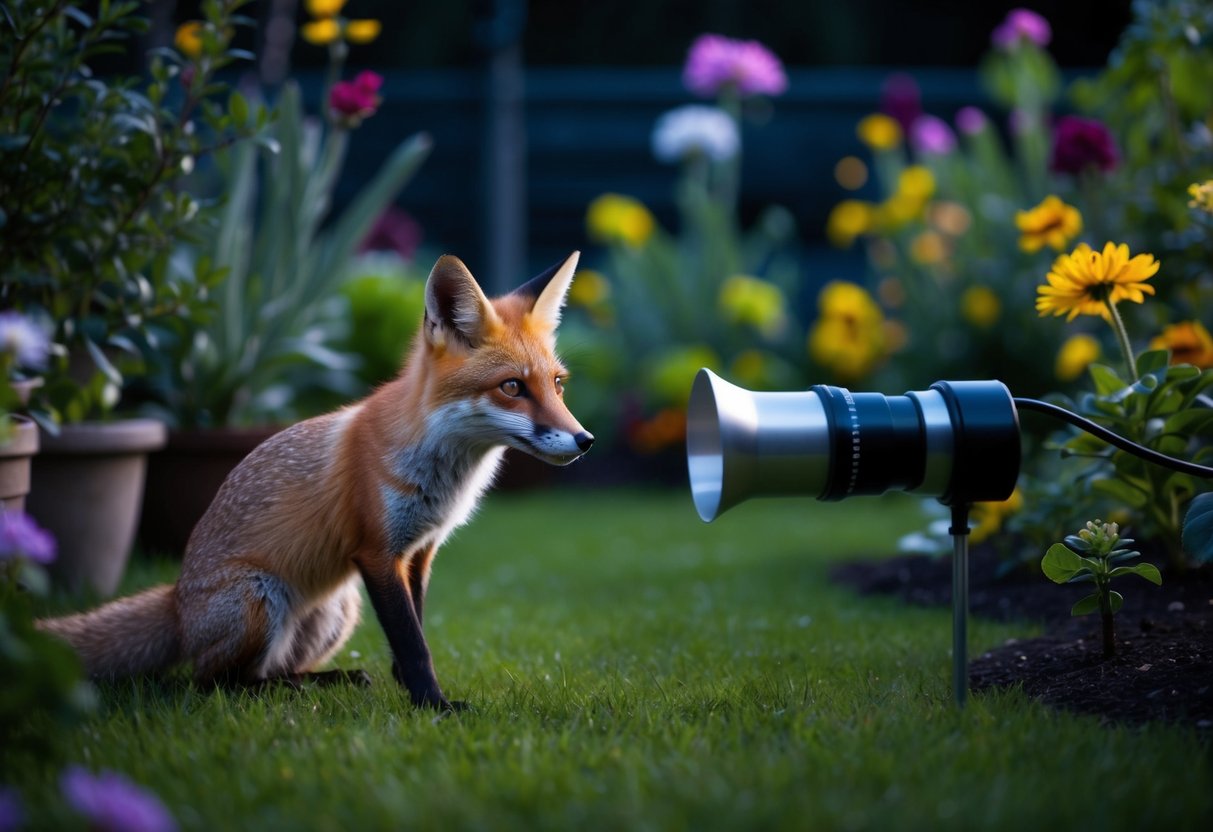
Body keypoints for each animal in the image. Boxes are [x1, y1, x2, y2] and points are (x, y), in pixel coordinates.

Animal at [37, 252, 593, 710]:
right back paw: (287, 692)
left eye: (558, 384)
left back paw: (329, 680)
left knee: (273, 668)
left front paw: (409, 689)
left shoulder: (419, 550)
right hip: (260, 602)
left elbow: (415, 629)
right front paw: (433, 706)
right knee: (214, 683)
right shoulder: (376, 551)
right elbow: (412, 643)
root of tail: (176, 599)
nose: (585, 440)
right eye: (512, 387)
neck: (442, 471)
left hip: (336, 609)